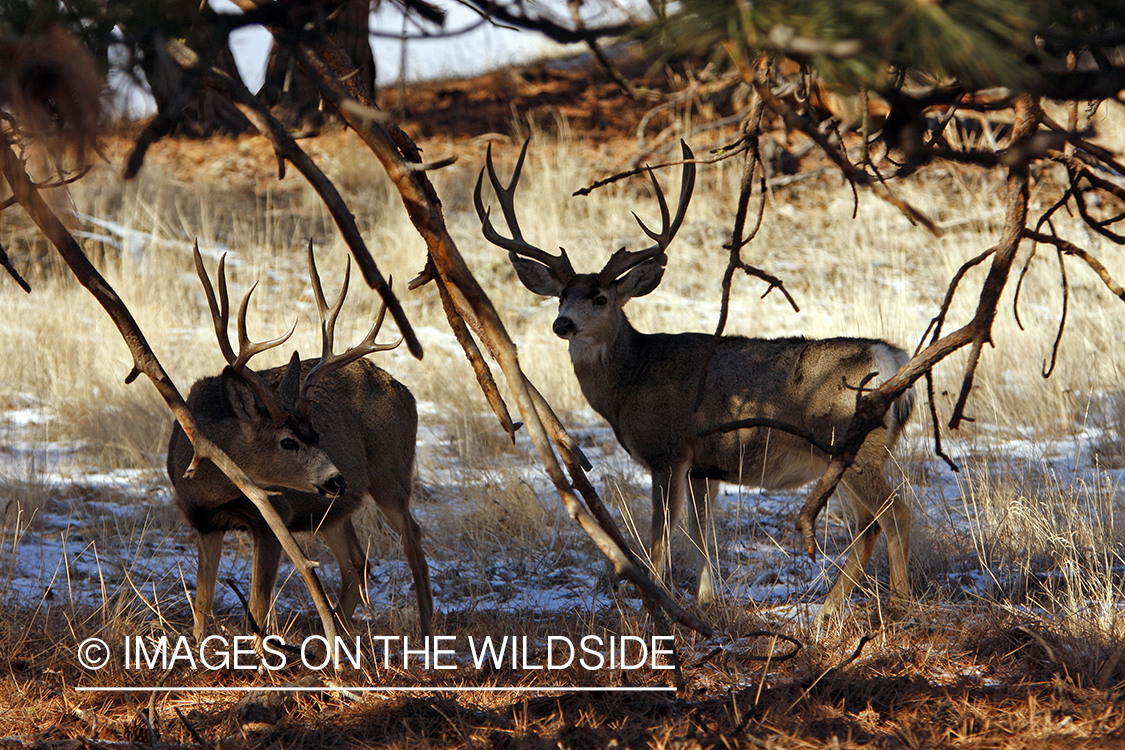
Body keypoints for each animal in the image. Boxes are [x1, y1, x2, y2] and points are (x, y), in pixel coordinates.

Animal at [167, 245, 433, 641]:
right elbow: (202, 601)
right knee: (356, 563)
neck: (211, 486)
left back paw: (427, 629)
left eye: (316, 434)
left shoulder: (272, 518)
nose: (337, 478)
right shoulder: (204, 523)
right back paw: (335, 637)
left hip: (391, 473)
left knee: (412, 538)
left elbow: (259, 605)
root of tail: (407, 392)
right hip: (331, 512)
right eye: (288, 442)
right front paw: (198, 647)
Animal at [475, 141, 915, 621]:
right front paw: (707, 598)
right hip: (856, 453)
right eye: (560, 295)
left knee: (895, 514)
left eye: (601, 297)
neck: (631, 380)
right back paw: (829, 610)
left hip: (851, 445)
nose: (562, 323)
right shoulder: (705, 465)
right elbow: (702, 531)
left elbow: (661, 535)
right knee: (868, 525)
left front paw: (658, 602)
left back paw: (901, 602)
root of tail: (889, 356)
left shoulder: (666, 449)